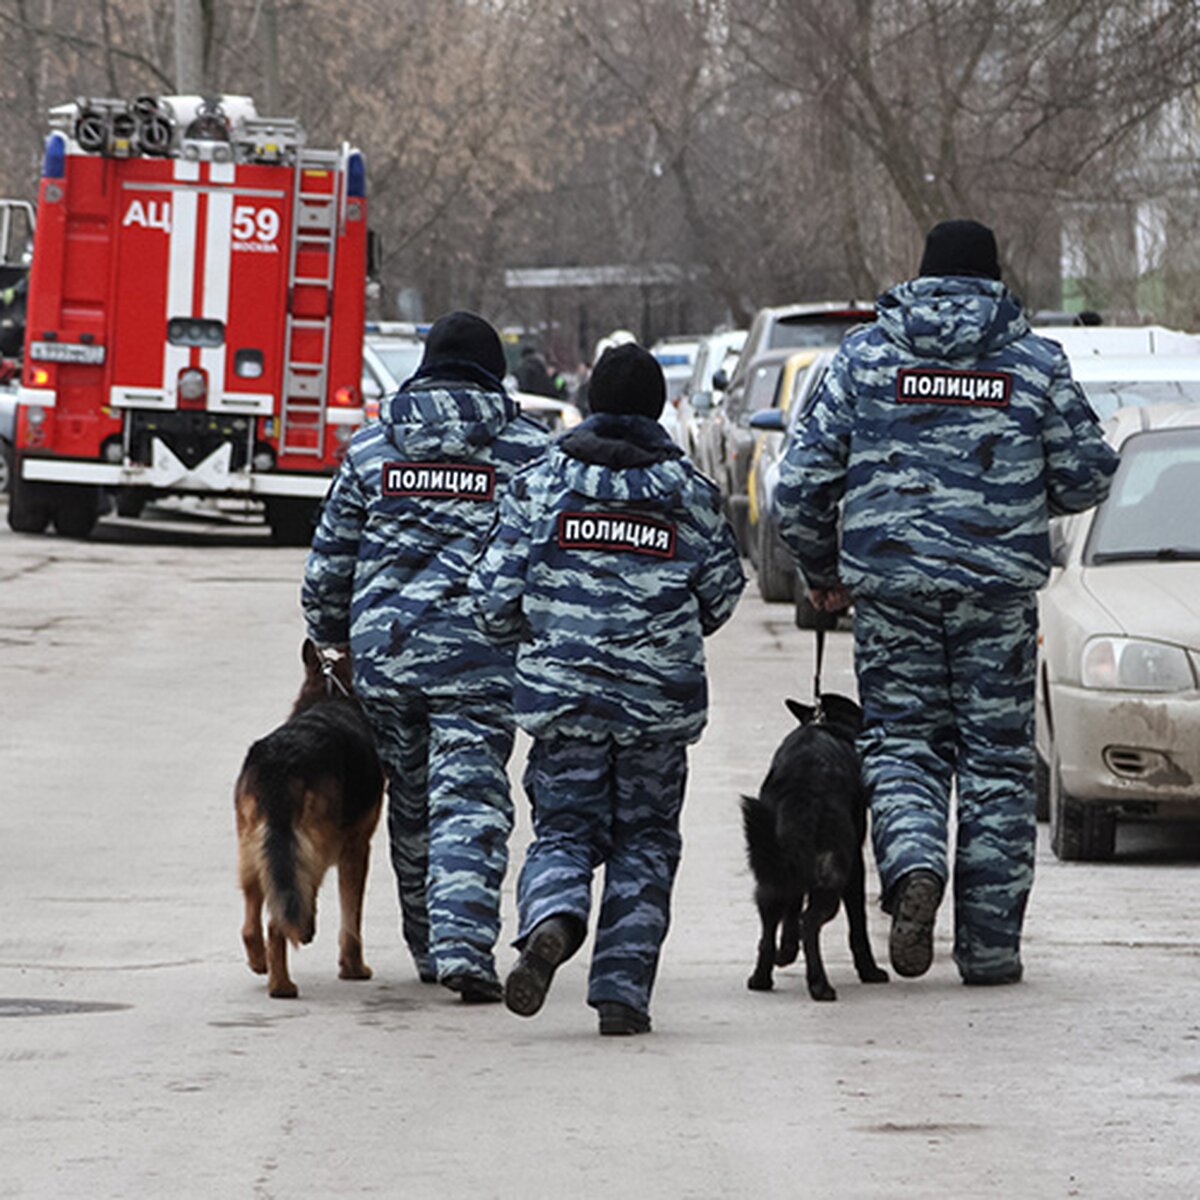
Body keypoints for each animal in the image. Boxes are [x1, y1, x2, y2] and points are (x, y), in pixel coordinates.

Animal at [234, 643, 384, 998]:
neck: (331, 694)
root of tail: (280, 764)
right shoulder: (357, 847)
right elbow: (351, 916)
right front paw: (354, 969)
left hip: (252, 849)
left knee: (251, 923)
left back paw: (262, 964)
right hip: (313, 850)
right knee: (276, 920)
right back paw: (282, 984)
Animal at [744, 696, 888, 1003]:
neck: (827, 724)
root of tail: (801, 789)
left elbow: (791, 909)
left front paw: (786, 950)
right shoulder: (855, 868)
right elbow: (858, 926)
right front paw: (869, 971)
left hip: (770, 874)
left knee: (772, 920)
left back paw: (762, 976)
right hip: (832, 876)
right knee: (809, 922)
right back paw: (819, 984)